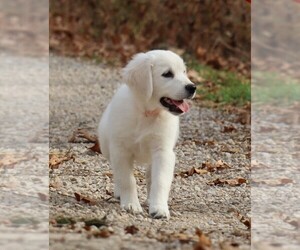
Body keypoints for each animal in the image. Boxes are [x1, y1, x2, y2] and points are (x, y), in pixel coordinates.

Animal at [99, 49, 197, 218]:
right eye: (167, 74)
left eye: (184, 72)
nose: (192, 87)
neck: (146, 113)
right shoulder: (120, 149)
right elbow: (127, 179)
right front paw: (131, 204)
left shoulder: (163, 151)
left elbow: (160, 180)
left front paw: (159, 208)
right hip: (106, 146)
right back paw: (119, 193)